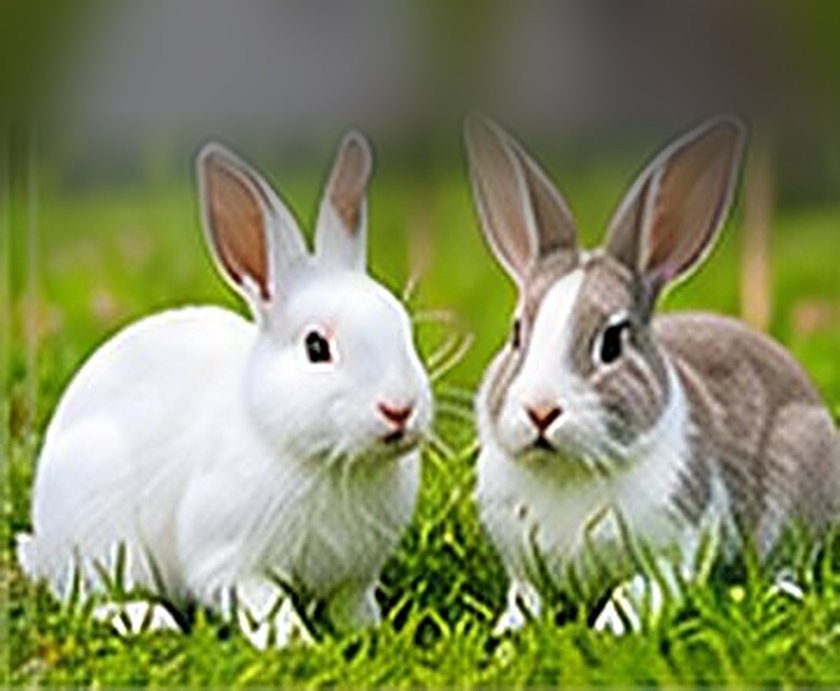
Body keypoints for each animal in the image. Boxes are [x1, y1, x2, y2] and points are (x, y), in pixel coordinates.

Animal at [16, 132, 433, 648]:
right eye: (316, 347)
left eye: (403, 327)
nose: (400, 409)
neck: (327, 461)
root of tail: (43, 541)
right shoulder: (229, 560)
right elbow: (268, 605)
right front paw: (297, 646)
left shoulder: (354, 577)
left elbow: (352, 605)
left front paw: (372, 634)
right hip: (101, 527)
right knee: (92, 595)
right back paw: (151, 620)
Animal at [465, 115, 840, 635]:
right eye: (517, 333)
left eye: (612, 342)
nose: (541, 411)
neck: (569, 469)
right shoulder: (523, 568)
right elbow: (525, 599)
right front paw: (507, 636)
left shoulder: (672, 552)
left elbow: (633, 594)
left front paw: (604, 634)